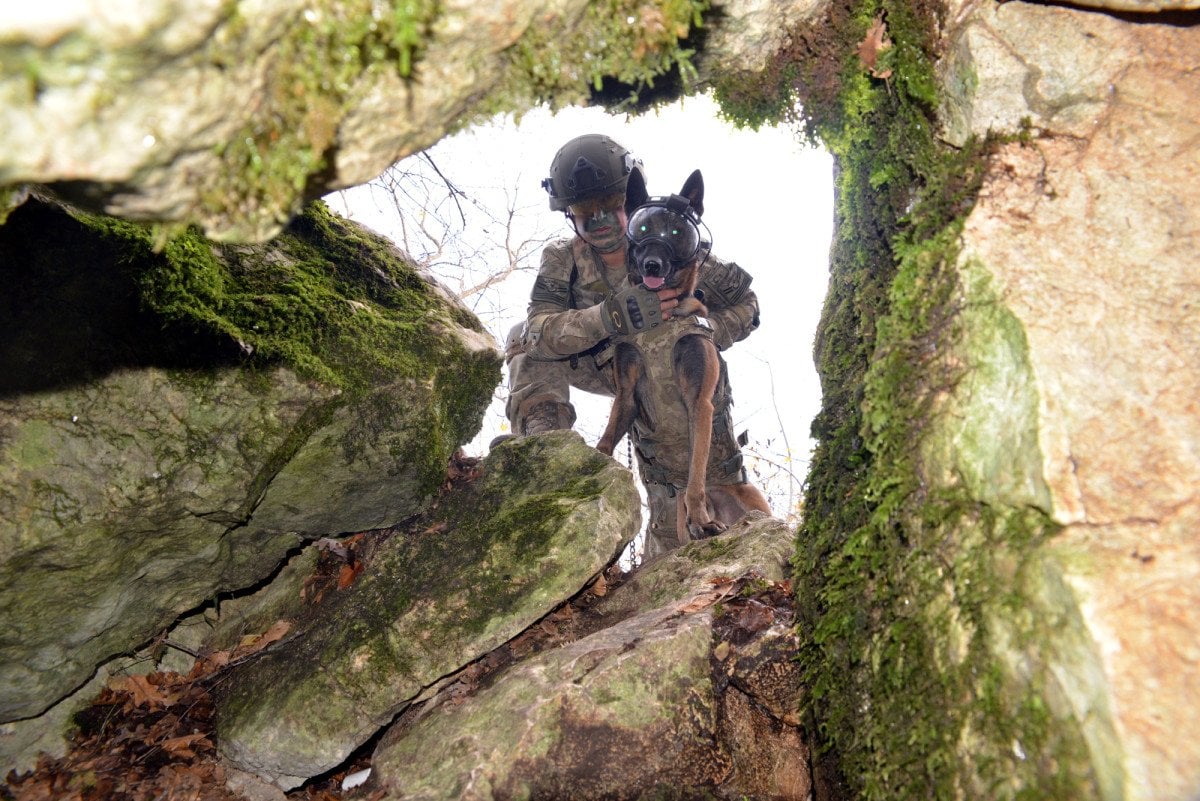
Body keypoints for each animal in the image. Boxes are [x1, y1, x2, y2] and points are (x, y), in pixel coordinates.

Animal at [597, 171, 768, 541]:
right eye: (642, 228)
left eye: (677, 233)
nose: (652, 264)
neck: (659, 322)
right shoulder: (625, 395)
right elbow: (607, 438)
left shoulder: (698, 403)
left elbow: (695, 475)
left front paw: (701, 520)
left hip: (756, 503)